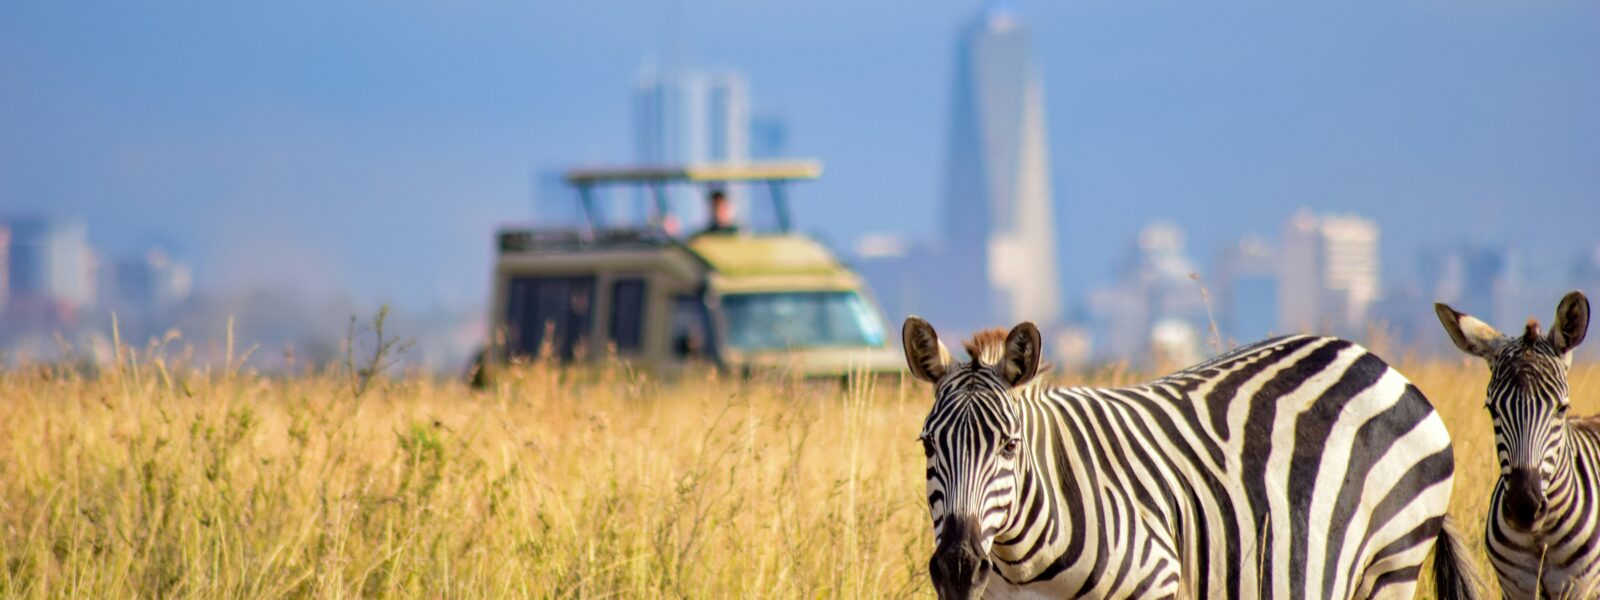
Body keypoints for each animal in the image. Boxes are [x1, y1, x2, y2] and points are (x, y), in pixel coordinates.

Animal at [903, 317, 1483, 599]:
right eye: (928, 444)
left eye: (1009, 445)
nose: (957, 569)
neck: (1023, 564)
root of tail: (1376, 361)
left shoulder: (1154, 583)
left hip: (1392, 563)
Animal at [1435, 291, 1599, 599]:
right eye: (1491, 409)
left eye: (1562, 408)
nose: (1525, 506)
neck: (1541, 535)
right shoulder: (1515, 586)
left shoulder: (1580, 587)